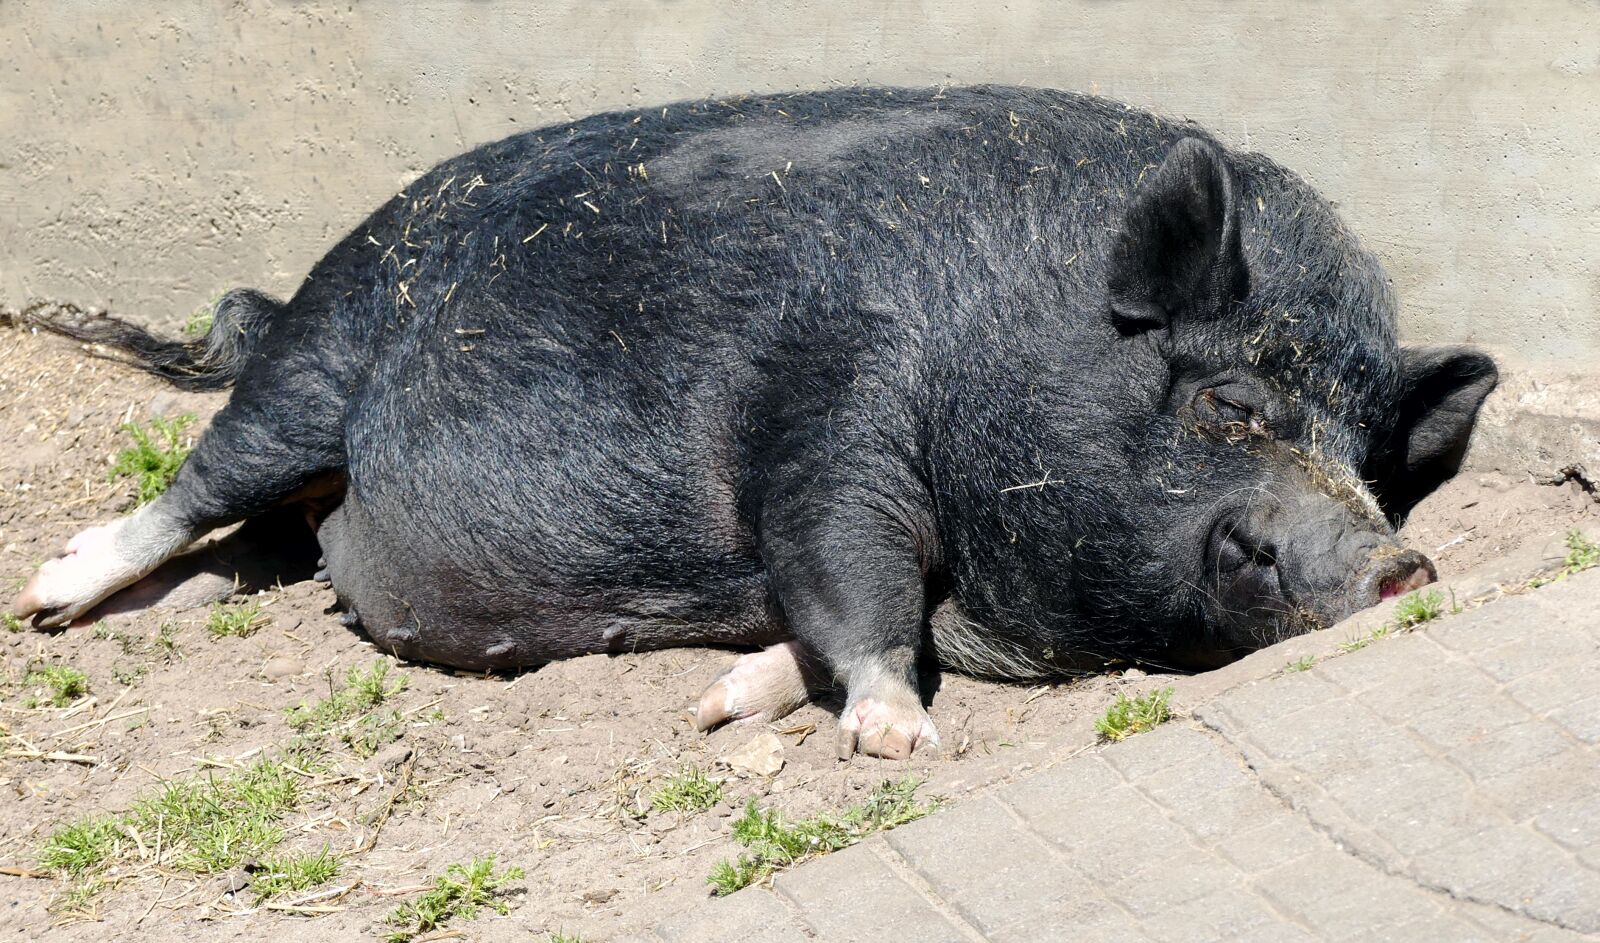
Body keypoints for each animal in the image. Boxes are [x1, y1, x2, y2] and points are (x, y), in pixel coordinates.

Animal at [14, 86, 1496, 759]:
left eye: (1371, 460)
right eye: (1229, 400)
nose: (1398, 558)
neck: (1005, 331)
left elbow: (852, 609)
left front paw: (720, 703)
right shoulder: (831, 405)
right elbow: (850, 573)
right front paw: (897, 739)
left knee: (256, 551)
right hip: (324, 353)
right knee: (204, 480)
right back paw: (44, 599)